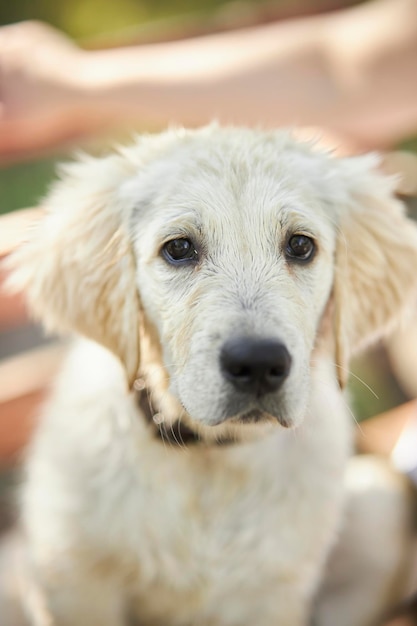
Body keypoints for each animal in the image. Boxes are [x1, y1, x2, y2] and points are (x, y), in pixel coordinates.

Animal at [7, 124, 417, 620]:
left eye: (301, 245)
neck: (210, 459)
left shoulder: (272, 594)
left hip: (380, 503)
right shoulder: (76, 581)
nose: (258, 364)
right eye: (179, 248)